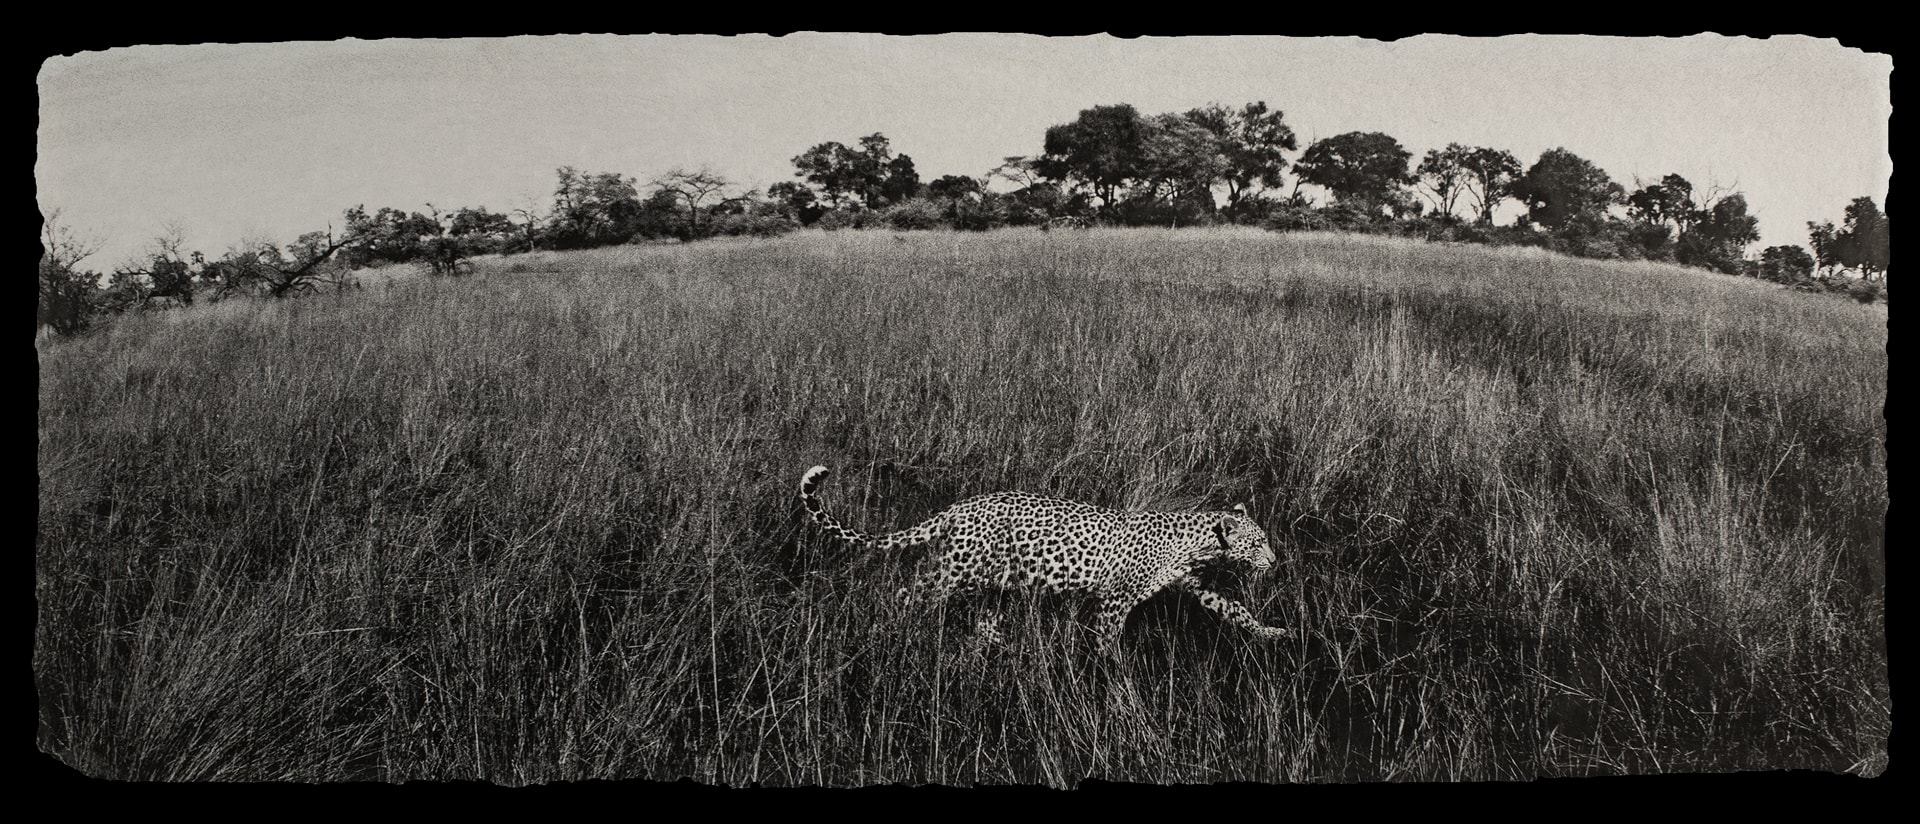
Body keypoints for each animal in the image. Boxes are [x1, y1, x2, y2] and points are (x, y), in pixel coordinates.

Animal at [794, 464, 1290, 653]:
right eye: (1257, 543)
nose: (1274, 560)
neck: (1196, 543)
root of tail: (960, 506)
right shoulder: (1115, 599)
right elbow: (1109, 639)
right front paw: (1114, 676)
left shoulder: (1196, 585)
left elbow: (1235, 608)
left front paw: (1270, 632)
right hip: (954, 571)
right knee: (907, 591)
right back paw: (886, 633)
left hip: (991, 583)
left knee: (984, 620)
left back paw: (996, 650)